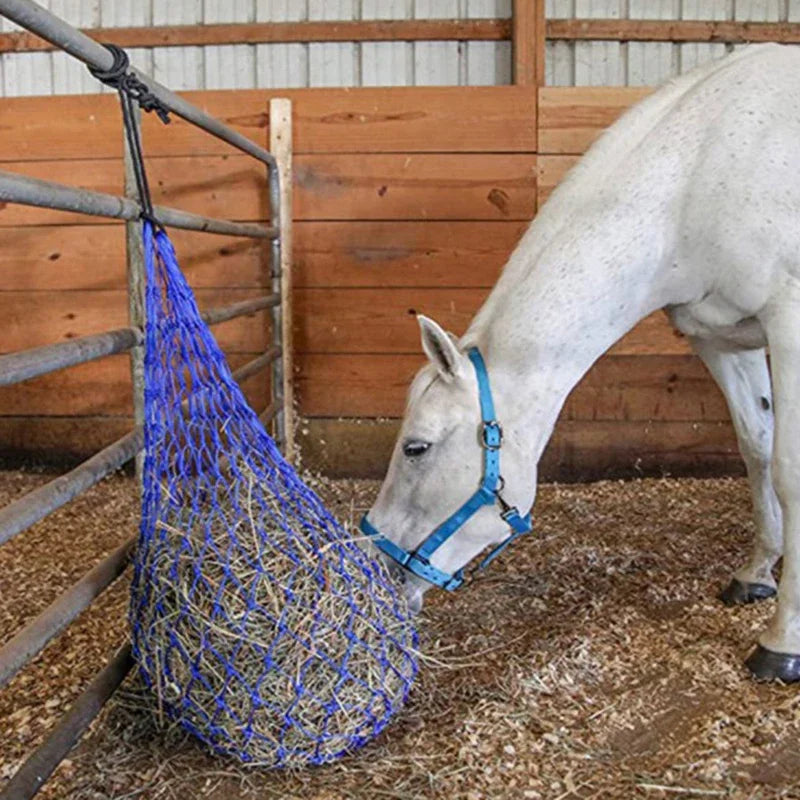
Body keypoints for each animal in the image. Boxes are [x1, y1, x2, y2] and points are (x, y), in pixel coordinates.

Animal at [360, 43, 800, 682]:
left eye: (416, 447)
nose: (378, 562)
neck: (700, 178)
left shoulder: (789, 323)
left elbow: (790, 470)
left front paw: (783, 640)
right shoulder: (722, 339)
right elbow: (758, 448)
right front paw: (758, 571)